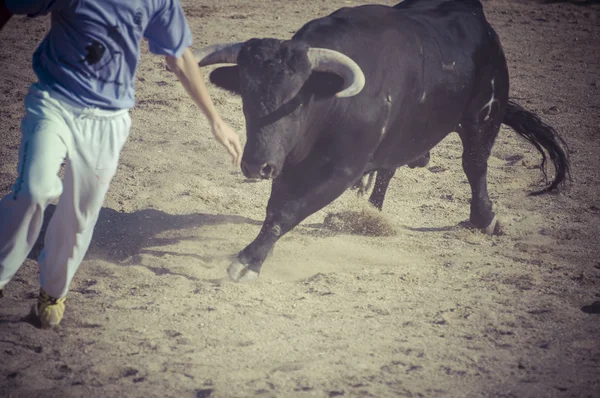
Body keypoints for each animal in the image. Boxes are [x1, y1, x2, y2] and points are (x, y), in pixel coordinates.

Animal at [190, 0, 568, 282]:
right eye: (246, 99)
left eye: (296, 101)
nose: (256, 166)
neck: (332, 100)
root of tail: (477, 18)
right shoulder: (291, 163)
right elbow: (276, 207)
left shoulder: (341, 170)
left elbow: (288, 210)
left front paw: (247, 262)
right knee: (391, 167)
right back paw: (370, 213)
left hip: (485, 112)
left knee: (474, 163)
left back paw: (483, 219)